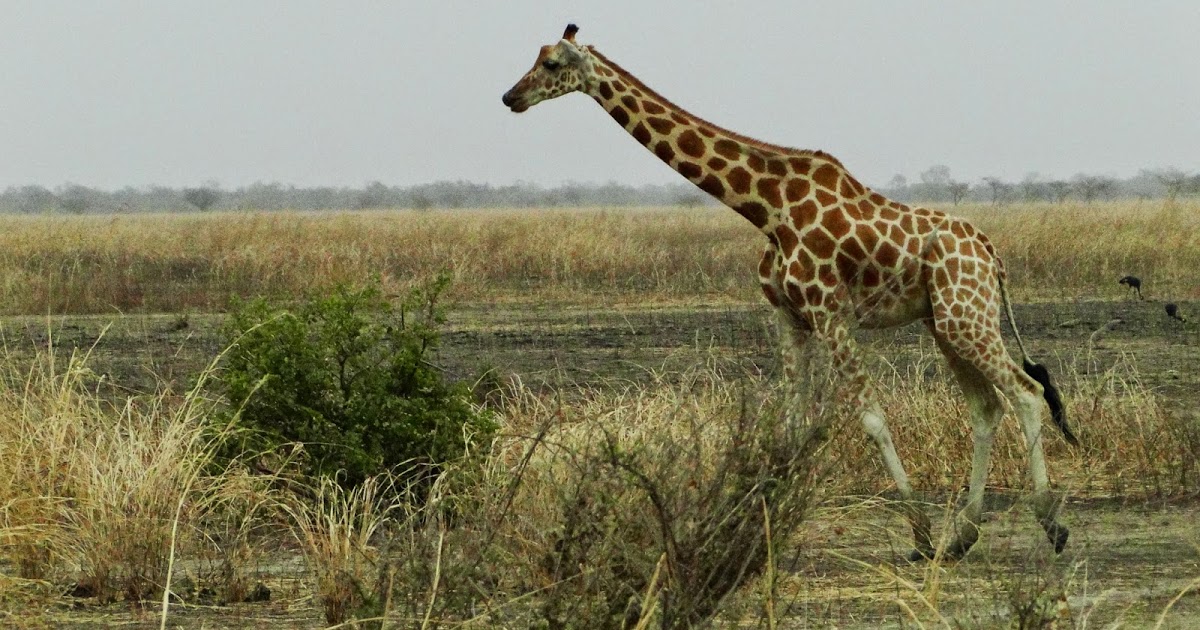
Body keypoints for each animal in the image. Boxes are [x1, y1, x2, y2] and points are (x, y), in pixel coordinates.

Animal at [501, 24, 1084, 556]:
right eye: (535, 56)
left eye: (552, 64)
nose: (511, 98)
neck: (767, 207)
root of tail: (992, 254)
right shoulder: (788, 315)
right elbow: (790, 424)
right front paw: (759, 528)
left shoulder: (829, 311)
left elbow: (872, 418)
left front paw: (918, 535)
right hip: (946, 321)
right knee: (986, 406)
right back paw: (964, 534)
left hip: (967, 317)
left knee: (1025, 392)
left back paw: (1050, 523)